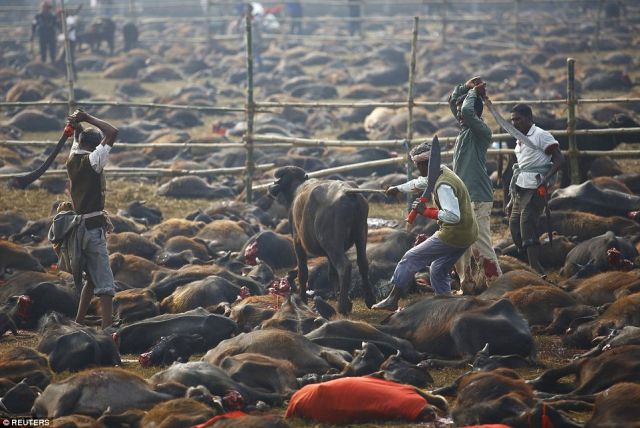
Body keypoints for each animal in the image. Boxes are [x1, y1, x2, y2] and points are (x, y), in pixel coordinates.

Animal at [268, 167, 376, 314]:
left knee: (344, 266)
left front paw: (303, 299)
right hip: (361, 234)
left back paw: (342, 306)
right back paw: (369, 300)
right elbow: (332, 273)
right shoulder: (328, 254)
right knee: (362, 264)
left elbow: (303, 272)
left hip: (331, 242)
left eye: (279, 179)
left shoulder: (297, 242)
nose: (271, 187)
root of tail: (348, 193)